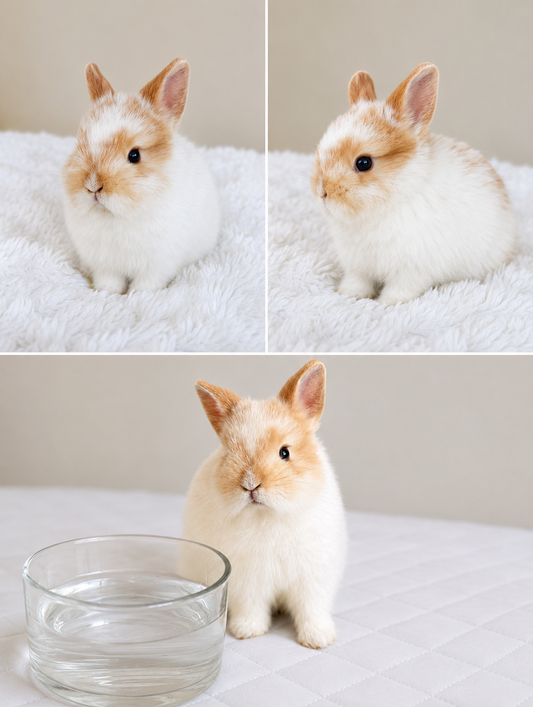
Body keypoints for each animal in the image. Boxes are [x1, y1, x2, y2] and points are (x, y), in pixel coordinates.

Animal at [62, 59, 220, 294]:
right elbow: (109, 281)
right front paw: (107, 292)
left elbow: (147, 284)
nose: (92, 186)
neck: (117, 216)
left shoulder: (156, 265)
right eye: (80, 145)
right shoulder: (105, 266)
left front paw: (139, 295)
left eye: (134, 155)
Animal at [182, 360, 347, 649]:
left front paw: (318, 640)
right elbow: (252, 608)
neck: (267, 515)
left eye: (285, 452)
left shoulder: (313, 580)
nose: (250, 485)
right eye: (228, 454)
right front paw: (247, 631)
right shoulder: (248, 583)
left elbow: (312, 610)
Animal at [311, 63, 517, 306]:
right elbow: (358, 282)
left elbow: (401, 288)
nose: (322, 192)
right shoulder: (358, 266)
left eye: (364, 163)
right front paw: (348, 295)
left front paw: (387, 303)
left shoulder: (411, 270)